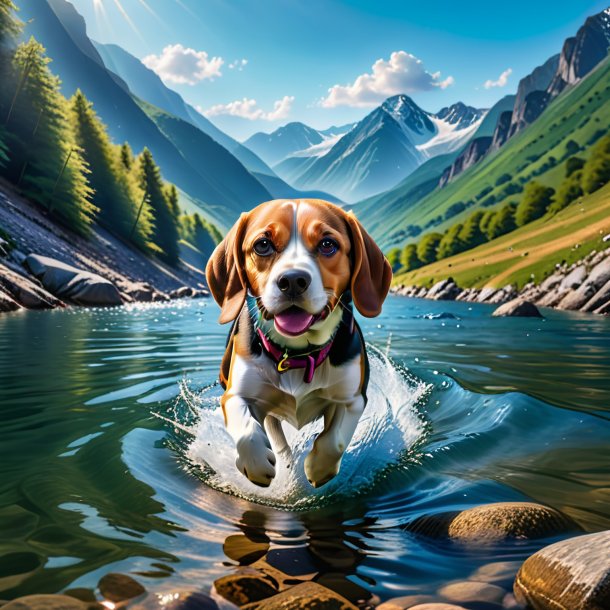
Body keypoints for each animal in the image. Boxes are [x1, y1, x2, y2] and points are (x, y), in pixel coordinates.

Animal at [204, 197, 390, 486]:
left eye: (327, 244)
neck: (297, 355)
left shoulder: (352, 399)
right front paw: (257, 464)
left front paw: (318, 468)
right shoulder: (235, 395)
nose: (292, 280)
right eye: (263, 244)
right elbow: (247, 432)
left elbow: (334, 440)